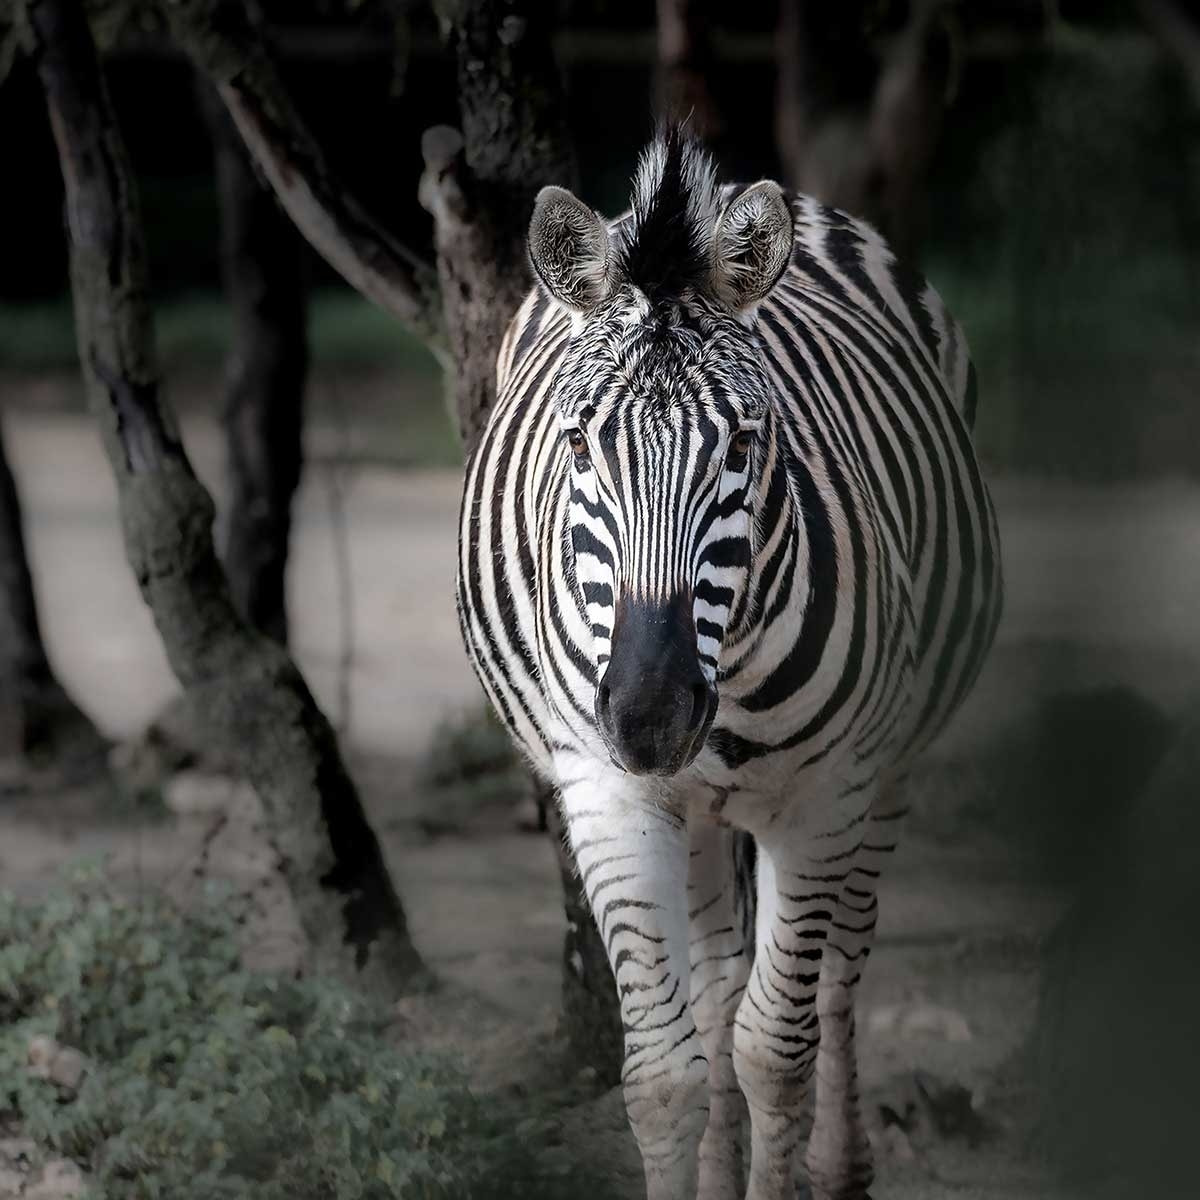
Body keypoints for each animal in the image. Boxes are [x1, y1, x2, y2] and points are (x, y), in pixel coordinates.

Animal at [453, 131, 998, 1200]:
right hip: (695, 811)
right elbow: (665, 1071)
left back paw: (841, 1162)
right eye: (579, 445)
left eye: (744, 446)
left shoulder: (825, 799)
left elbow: (773, 1049)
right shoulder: (607, 792)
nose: (650, 714)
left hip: (890, 770)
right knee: (713, 995)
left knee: (841, 974)